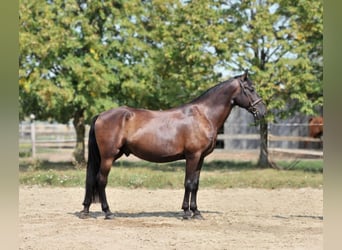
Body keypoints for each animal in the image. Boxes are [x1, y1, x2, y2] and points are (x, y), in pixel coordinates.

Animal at [81, 70, 268, 219]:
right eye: (251, 89)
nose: (263, 111)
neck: (204, 115)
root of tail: (101, 115)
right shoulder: (192, 156)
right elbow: (188, 183)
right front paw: (186, 212)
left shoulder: (200, 158)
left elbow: (196, 184)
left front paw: (196, 212)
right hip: (108, 156)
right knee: (101, 180)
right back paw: (108, 212)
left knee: (93, 180)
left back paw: (86, 210)